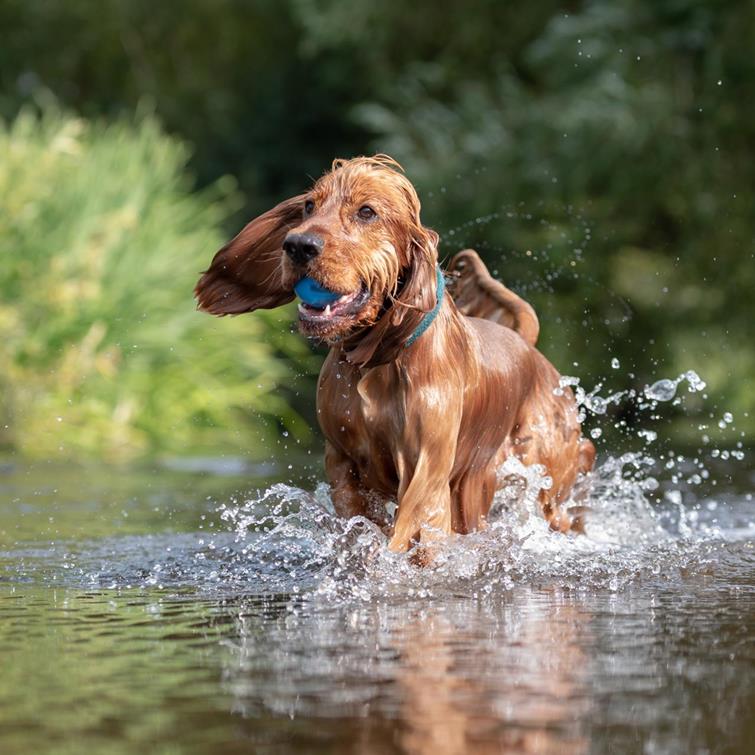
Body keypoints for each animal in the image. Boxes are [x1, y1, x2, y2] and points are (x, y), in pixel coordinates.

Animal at [195, 155, 596, 556]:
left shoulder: (427, 468)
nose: (297, 245)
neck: (376, 361)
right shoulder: (342, 461)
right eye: (309, 205)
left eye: (367, 212)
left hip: (542, 470)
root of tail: (526, 343)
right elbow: (361, 520)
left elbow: (412, 528)